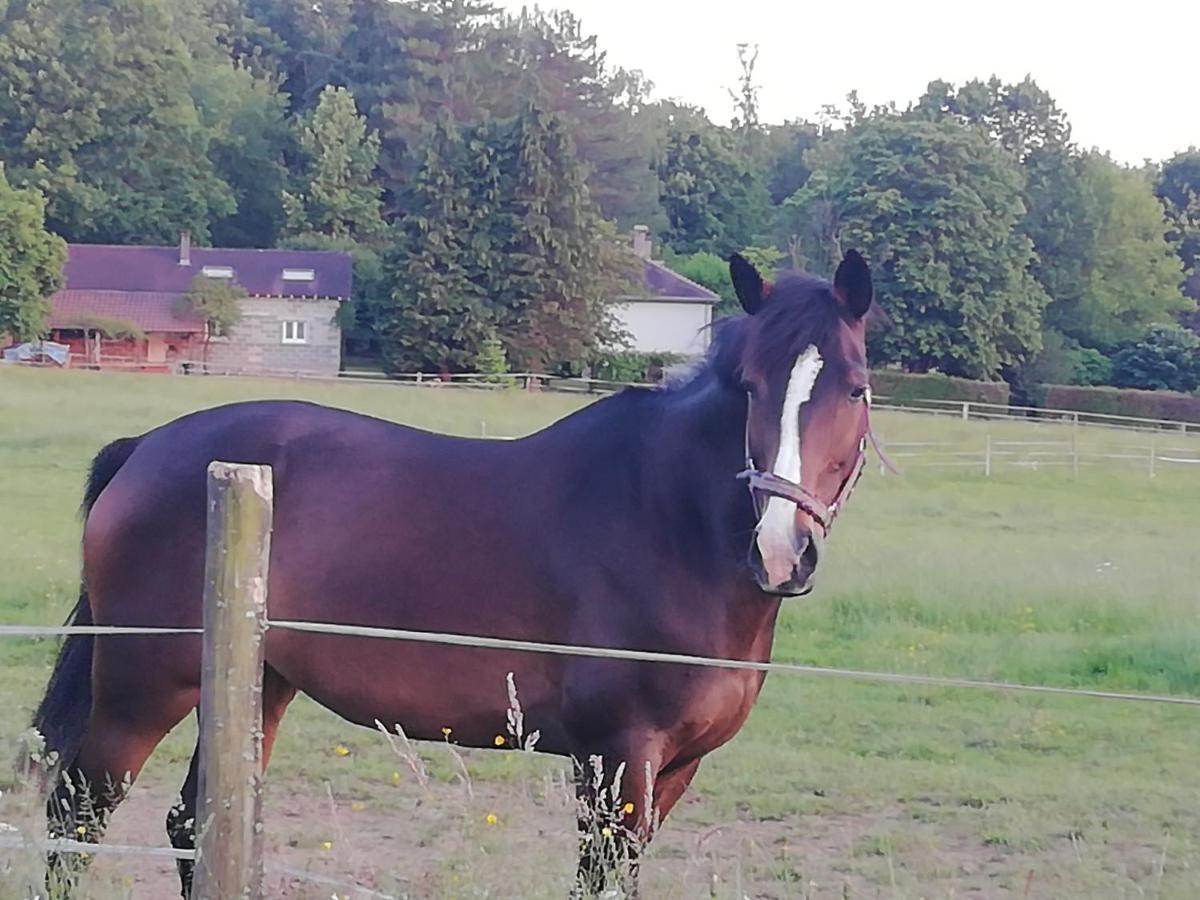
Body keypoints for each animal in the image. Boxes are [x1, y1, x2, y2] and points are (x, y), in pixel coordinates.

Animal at [25, 248, 873, 900]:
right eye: (751, 388)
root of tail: (147, 448)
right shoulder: (616, 760)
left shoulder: (674, 770)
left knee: (194, 824)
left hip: (256, 684)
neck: (669, 524)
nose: (780, 551)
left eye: (855, 387)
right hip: (140, 689)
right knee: (79, 813)